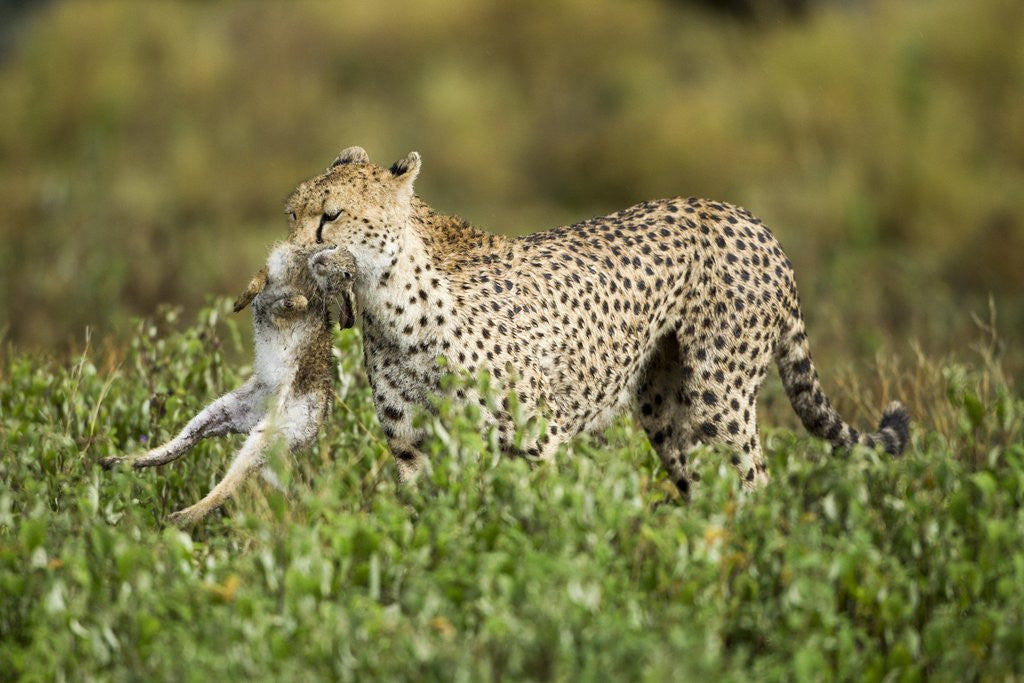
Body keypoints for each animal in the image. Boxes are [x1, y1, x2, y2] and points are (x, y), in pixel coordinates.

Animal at [286, 146, 909, 496]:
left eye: (332, 216)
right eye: (291, 213)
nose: (291, 255)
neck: (392, 302)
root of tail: (739, 212)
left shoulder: (538, 440)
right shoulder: (413, 449)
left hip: (719, 396)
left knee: (755, 481)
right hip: (666, 411)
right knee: (704, 488)